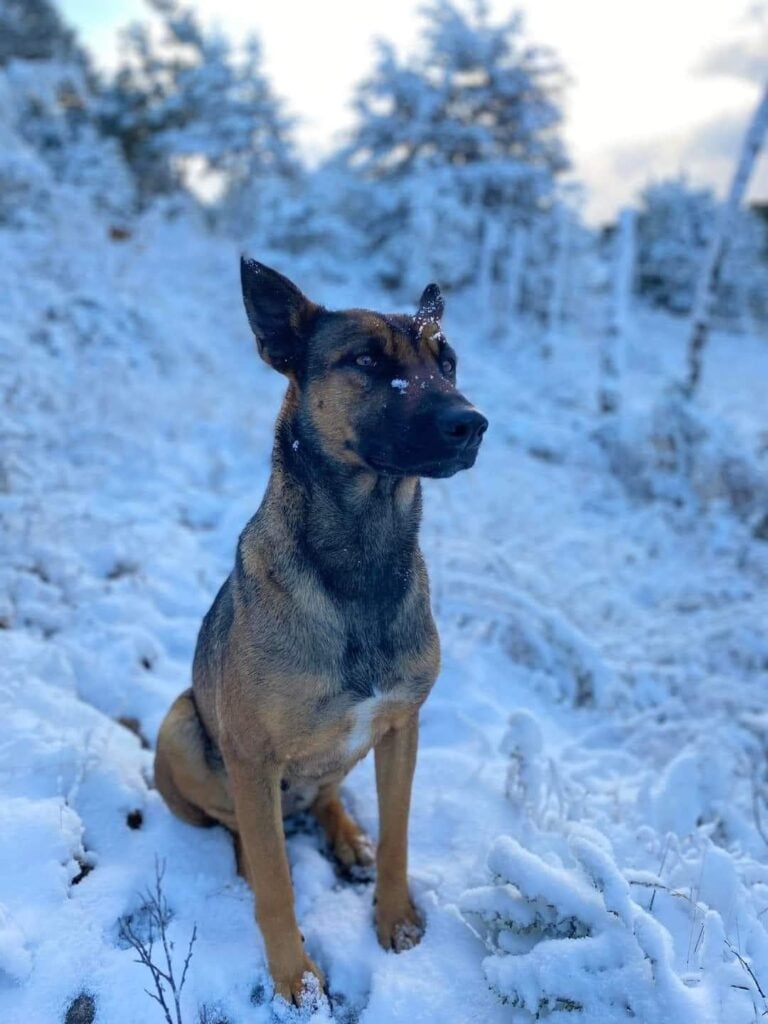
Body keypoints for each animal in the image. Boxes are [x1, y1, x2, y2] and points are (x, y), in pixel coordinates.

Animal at [154, 260, 489, 1003]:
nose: (472, 423)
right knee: (243, 831)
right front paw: (297, 981)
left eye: (447, 359)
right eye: (365, 360)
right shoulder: (251, 755)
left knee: (330, 793)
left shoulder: (401, 725)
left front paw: (395, 917)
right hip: (182, 727)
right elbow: (278, 885)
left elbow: (398, 836)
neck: (363, 557)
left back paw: (346, 835)